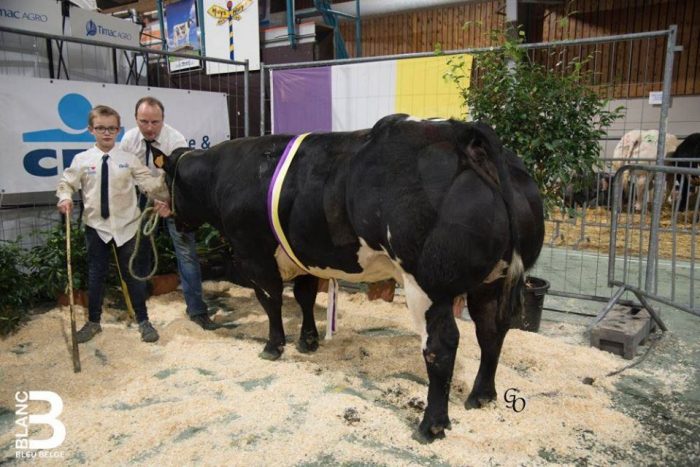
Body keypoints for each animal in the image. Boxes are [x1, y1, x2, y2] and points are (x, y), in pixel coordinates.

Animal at [154, 114, 548, 442]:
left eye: (166, 180)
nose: (167, 217)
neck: (227, 173)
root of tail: (462, 133)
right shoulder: (306, 254)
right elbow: (304, 296)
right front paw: (308, 341)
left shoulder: (253, 254)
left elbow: (271, 301)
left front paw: (273, 346)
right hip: (490, 282)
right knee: (491, 330)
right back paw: (481, 395)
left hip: (427, 284)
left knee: (442, 345)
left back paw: (431, 426)